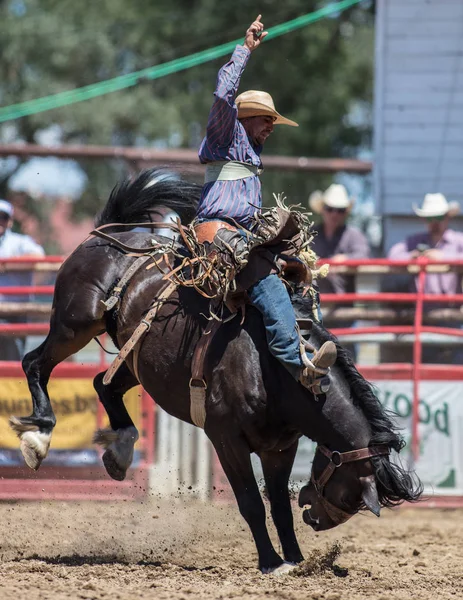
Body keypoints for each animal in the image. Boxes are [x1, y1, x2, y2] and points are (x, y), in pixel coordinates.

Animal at [11, 171, 424, 576]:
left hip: (136, 361)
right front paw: (271, 563)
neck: (278, 370)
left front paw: (295, 558)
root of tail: (107, 236)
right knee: (35, 364)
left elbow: (279, 505)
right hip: (75, 324)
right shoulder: (226, 438)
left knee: (104, 384)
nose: (317, 520)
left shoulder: (280, 447)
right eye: (351, 495)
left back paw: (120, 451)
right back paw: (38, 438)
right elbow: (251, 503)